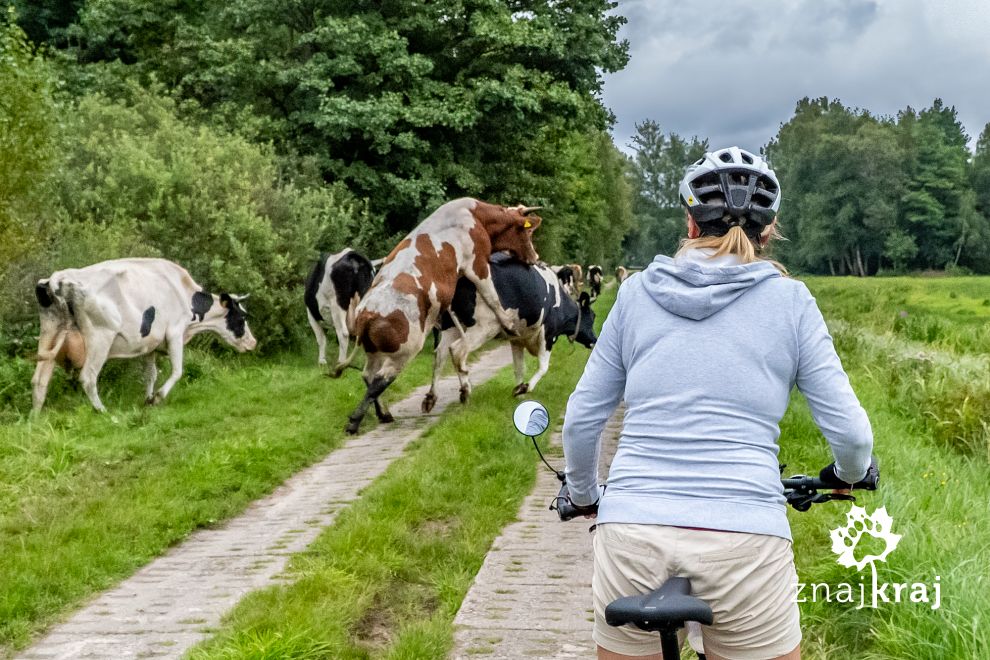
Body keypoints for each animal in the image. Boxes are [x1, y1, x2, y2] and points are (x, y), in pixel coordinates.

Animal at [34, 258, 258, 412]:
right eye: (242, 317)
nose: (253, 343)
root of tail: (57, 278)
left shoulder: (150, 344)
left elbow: (151, 374)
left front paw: (148, 399)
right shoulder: (175, 332)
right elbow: (177, 371)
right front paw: (158, 397)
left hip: (49, 334)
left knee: (39, 380)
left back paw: (35, 420)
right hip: (100, 338)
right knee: (88, 377)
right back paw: (103, 412)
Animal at [340, 199, 544, 436]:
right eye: (528, 233)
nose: (535, 258)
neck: (477, 217)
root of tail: (368, 313)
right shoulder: (477, 265)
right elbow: (492, 297)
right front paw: (508, 324)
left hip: (375, 351)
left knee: (368, 375)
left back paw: (384, 414)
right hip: (406, 350)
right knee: (380, 380)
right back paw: (355, 421)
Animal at [420, 254, 596, 412]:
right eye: (592, 316)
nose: (594, 340)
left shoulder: (517, 338)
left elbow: (519, 367)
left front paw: (519, 394)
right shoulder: (548, 334)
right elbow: (544, 367)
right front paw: (525, 388)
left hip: (451, 326)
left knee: (440, 354)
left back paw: (431, 398)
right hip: (485, 326)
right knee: (457, 350)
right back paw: (465, 392)